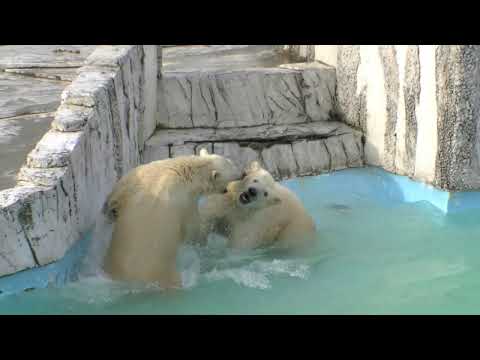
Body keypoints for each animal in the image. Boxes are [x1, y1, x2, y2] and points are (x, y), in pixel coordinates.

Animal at [101, 148, 240, 286]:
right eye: (233, 167)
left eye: (231, 162)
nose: (242, 173)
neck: (185, 172)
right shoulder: (186, 202)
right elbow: (192, 228)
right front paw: (200, 241)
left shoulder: (139, 174)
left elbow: (116, 195)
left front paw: (109, 212)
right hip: (164, 272)